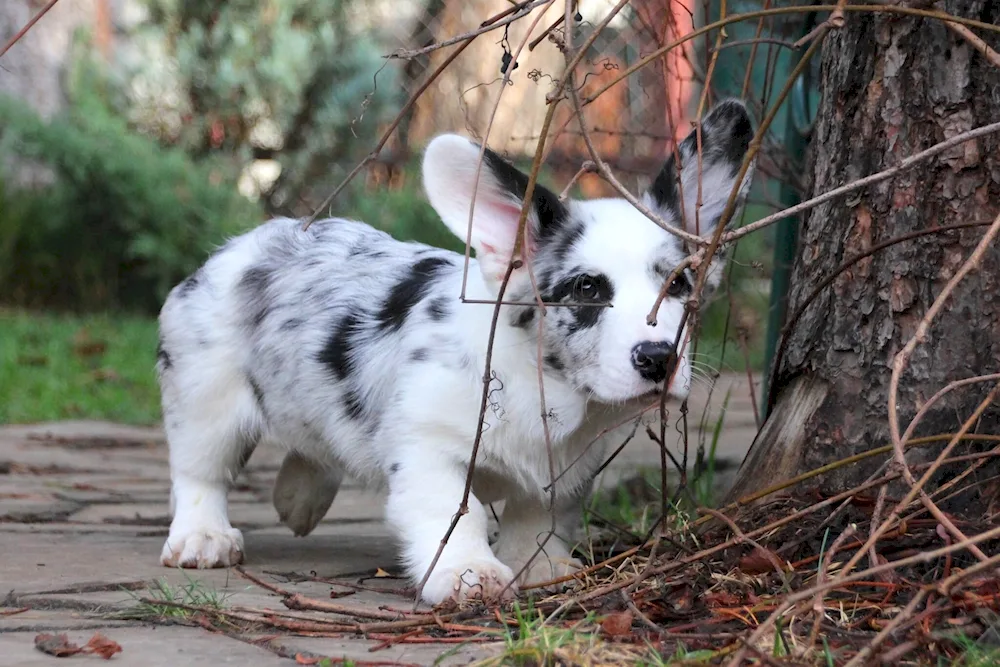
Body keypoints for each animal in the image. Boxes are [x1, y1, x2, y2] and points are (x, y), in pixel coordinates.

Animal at [154, 98, 752, 604]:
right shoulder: (428, 446)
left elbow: (539, 515)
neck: (548, 386)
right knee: (200, 471)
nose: (658, 359)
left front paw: (541, 567)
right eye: (587, 289)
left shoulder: (564, 469)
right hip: (207, 399)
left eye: (679, 284)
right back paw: (204, 539)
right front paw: (470, 574)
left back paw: (298, 501)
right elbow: (453, 513)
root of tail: (242, 245)